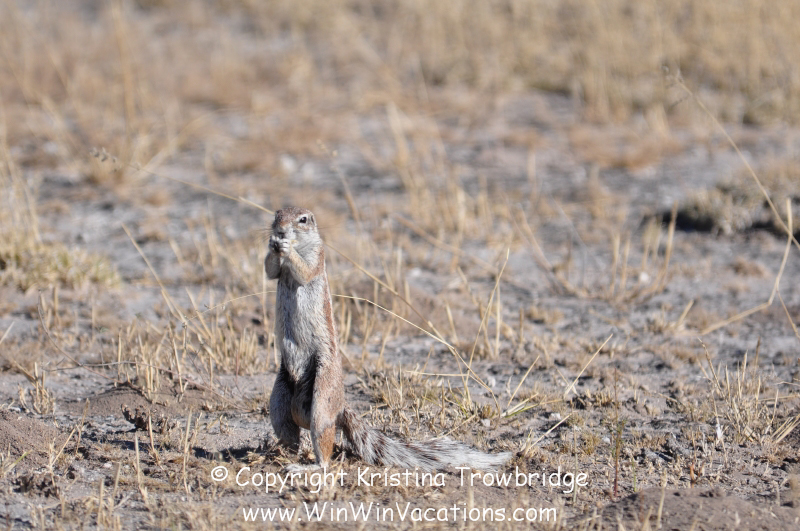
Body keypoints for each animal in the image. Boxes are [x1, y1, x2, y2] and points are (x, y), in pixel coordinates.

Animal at [265, 206, 511, 470]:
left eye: (302, 220)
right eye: (277, 213)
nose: (280, 229)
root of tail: (340, 407)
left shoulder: (317, 257)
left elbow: (305, 269)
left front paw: (286, 246)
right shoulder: (277, 269)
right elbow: (270, 270)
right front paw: (272, 244)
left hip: (322, 397)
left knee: (323, 452)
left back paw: (305, 465)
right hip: (278, 402)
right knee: (289, 431)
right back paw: (282, 452)